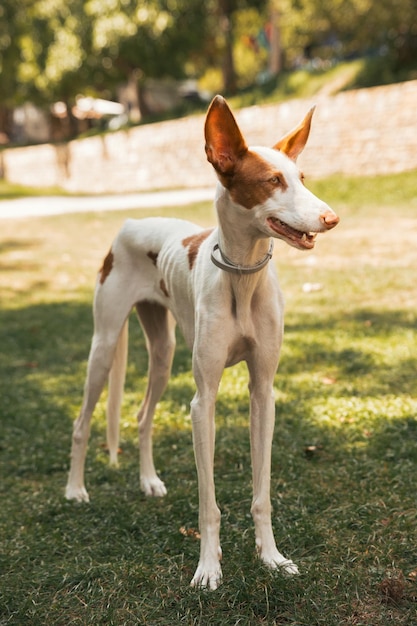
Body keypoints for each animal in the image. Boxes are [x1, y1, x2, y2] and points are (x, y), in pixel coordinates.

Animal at [65, 95, 338, 588]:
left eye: (302, 178)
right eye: (273, 181)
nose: (331, 218)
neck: (243, 275)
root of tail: (131, 221)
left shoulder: (263, 393)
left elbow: (262, 493)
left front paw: (272, 557)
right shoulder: (203, 400)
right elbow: (208, 503)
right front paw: (209, 568)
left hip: (163, 352)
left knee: (142, 416)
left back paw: (148, 482)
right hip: (105, 344)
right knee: (82, 423)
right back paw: (75, 489)